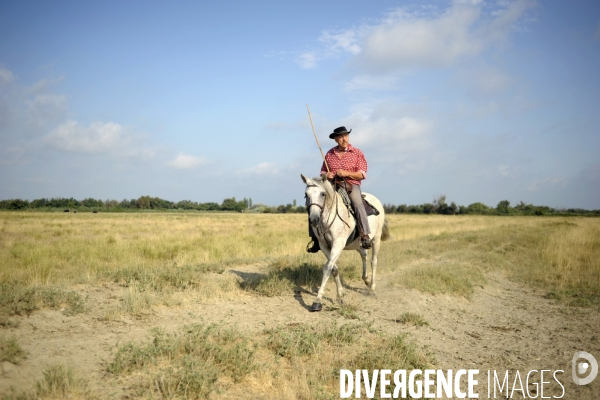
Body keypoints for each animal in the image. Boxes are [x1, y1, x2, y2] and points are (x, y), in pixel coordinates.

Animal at [298, 173, 390, 310]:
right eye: (306, 194)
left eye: (322, 194)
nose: (314, 220)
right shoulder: (324, 246)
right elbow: (334, 268)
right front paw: (340, 296)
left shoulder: (338, 244)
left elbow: (327, 268)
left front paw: (317, 300)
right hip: (358, 243)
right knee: (364, 255)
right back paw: (366, 280)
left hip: (376, 239)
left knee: (374, 261)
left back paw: (372, 289)